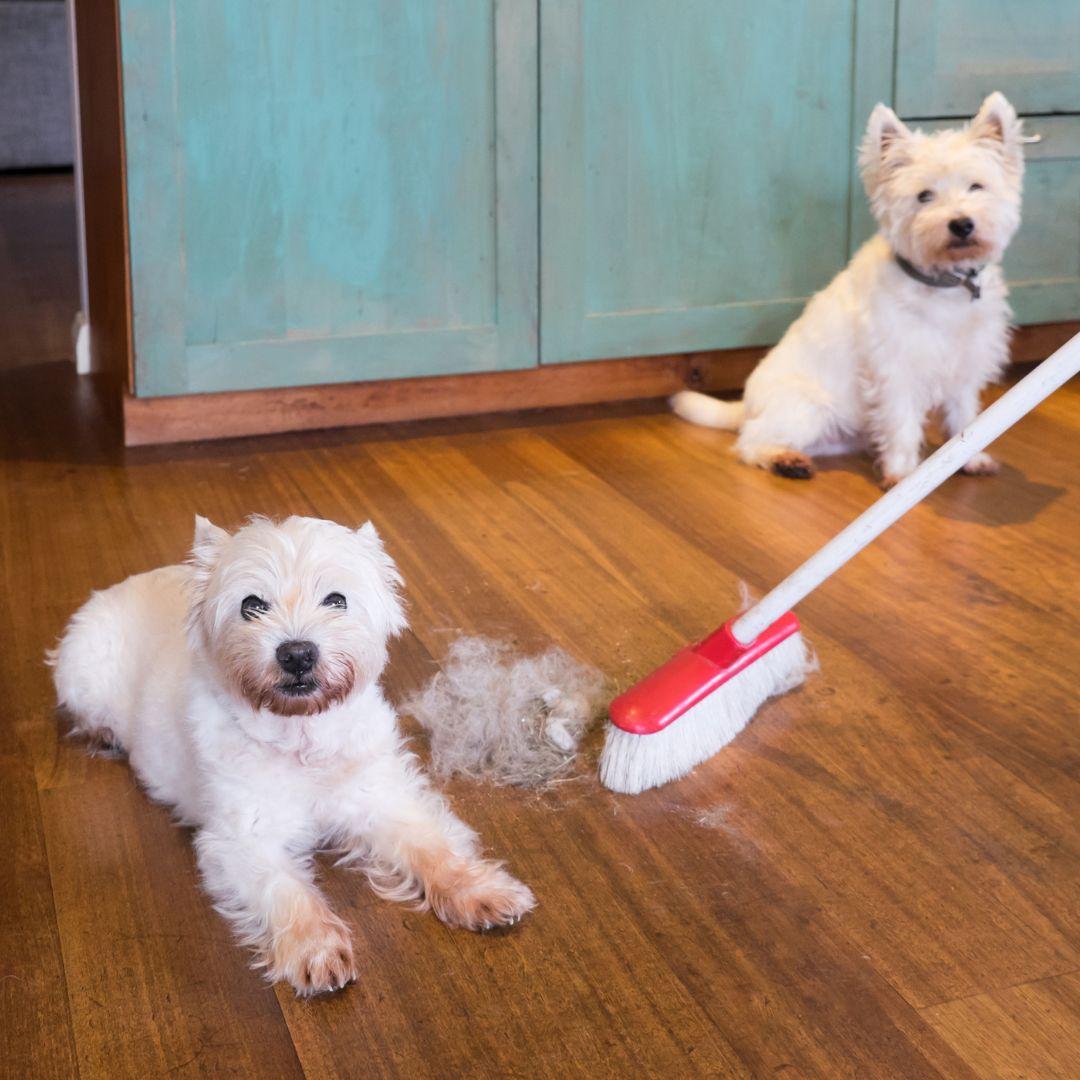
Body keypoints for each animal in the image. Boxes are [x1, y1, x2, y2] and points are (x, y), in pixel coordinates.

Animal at [50, 514, 535, 993]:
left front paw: (480, 891)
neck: (303, 736)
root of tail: (115, 587)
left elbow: (432, 847)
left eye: (337, 599)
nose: (297, 654)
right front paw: (315, 949)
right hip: (84, 678)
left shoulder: (381, 799)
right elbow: (286, 891)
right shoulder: (242, 839)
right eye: (252, 605)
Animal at [669, 90, 1023, 488]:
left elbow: (965, 417)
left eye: (977, 186)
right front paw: (903, 475)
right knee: (750, 442)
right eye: (924, 196)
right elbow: (901, 424)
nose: (962, 225)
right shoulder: (896, 370)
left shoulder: (965, 366)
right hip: (807, 409)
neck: (945, 286)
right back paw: (785, 460)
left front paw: (971, 458)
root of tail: (746, 406)